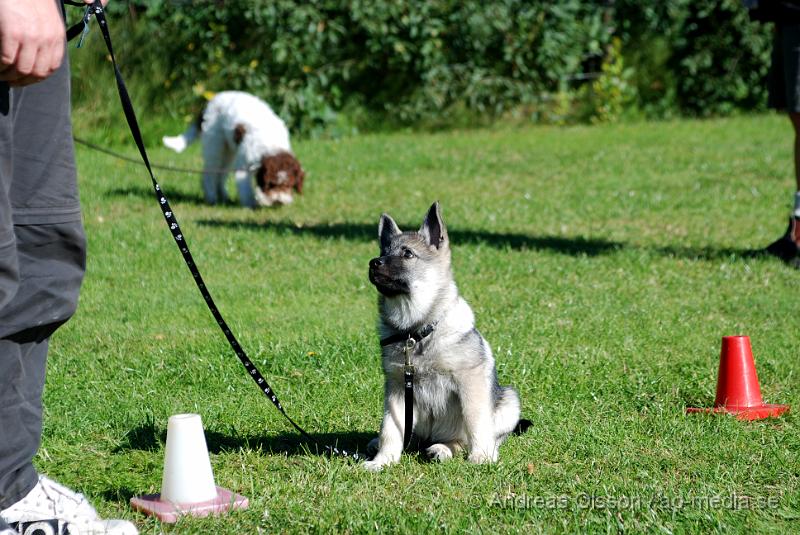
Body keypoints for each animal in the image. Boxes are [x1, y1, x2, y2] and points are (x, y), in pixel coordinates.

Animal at [162, 91, 304, 208]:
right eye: (271, 184)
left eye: (288, 185)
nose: (277, 201)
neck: (271, 146)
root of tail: (210, 102)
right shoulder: (244, 165)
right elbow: (244, 184)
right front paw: (250, 204)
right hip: (214, 144)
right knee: (210, 172)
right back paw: (211, 197)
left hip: (228, 150)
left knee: (221, 172)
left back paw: (224, 197)